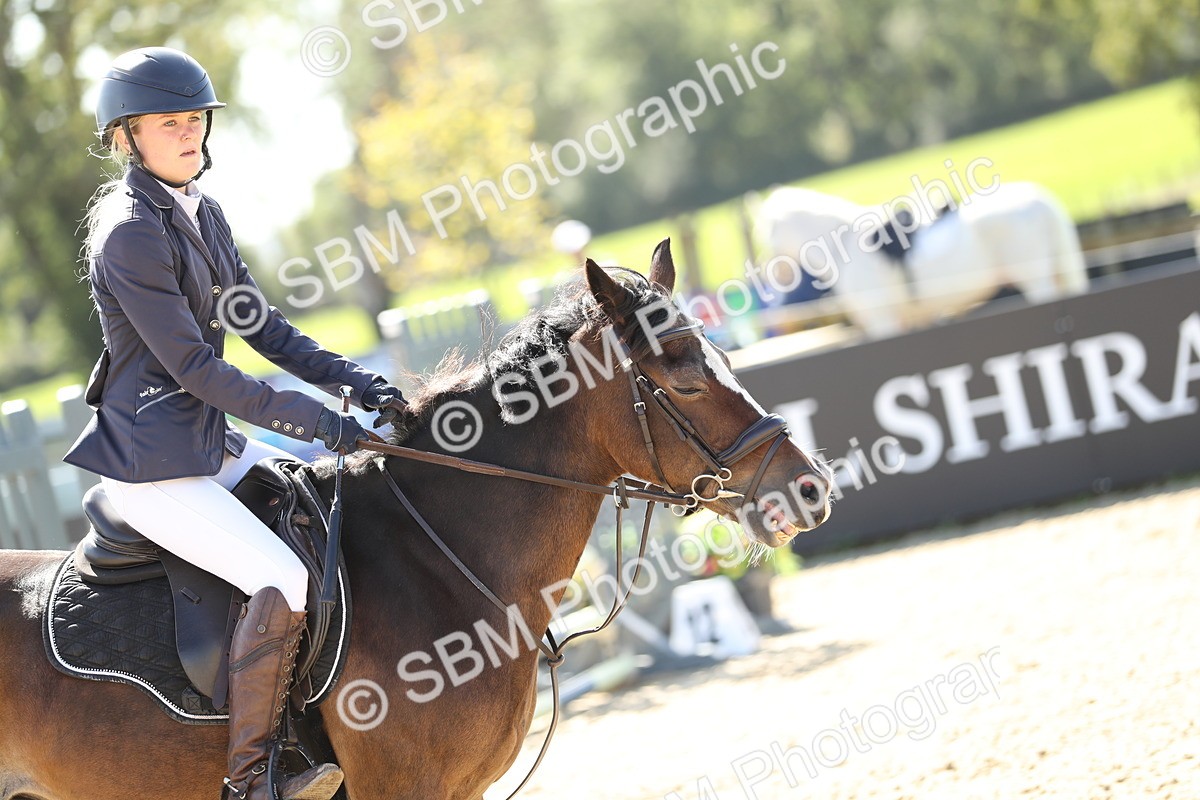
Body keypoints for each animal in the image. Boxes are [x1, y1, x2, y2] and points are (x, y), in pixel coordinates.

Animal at [756, 182, 1089, 337]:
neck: (846, 244)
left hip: (1037, 281)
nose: (778, 279)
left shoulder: (883, 321)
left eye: (768, 233)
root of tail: (1038, 199)